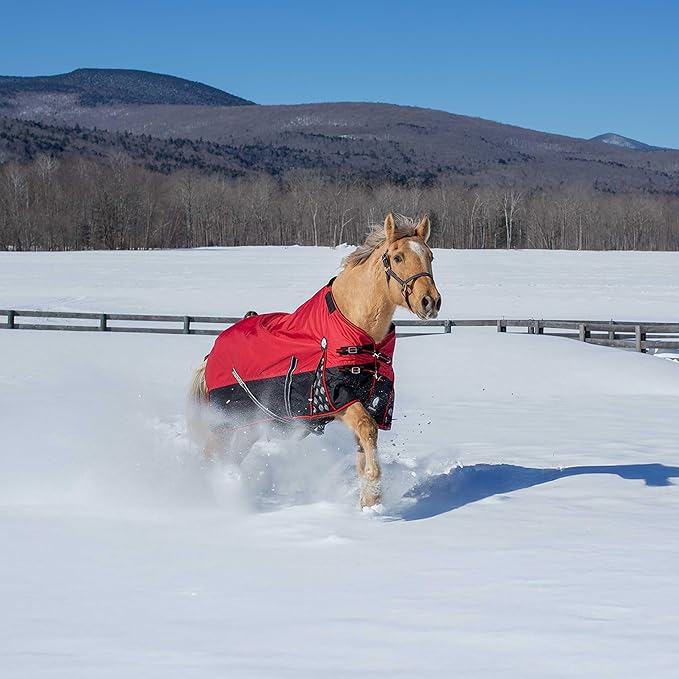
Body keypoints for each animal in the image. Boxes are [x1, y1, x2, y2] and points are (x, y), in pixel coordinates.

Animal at [189, 213, 441, 508]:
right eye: (398, 257)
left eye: (430, 256)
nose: (430, 302)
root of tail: (210, 355)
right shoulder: (339, 400)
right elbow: (368, 430)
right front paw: (373, 489)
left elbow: (363, 447)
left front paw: (369, 500)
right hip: (226, 425)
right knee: (211, 454)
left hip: (246, 429)